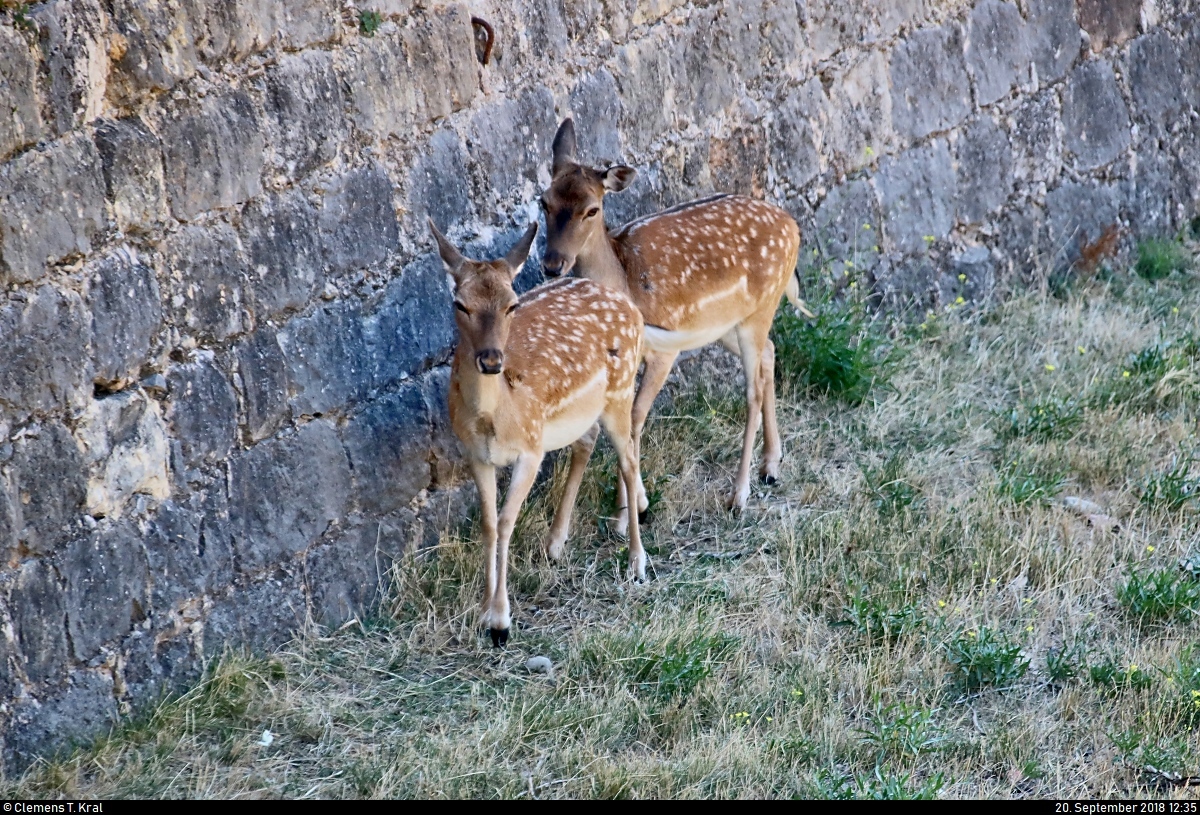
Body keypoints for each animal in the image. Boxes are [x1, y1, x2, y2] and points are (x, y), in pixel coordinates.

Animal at [434, 218, 648, 648]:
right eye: (460, 304)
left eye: (512, 304)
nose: (491, 360)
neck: (494, 418)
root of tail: (629, 306)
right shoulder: (475, 455)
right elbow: (488, 523)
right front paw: (484, 611)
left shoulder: (530, 449)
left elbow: (505, 522)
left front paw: (500, 622)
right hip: (584, 412)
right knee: (587, 443)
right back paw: (555, 544)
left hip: (620, 392)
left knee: (629, 459)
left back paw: (637, 562)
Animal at [542, 118, 806, 525]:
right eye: (544, 202)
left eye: (592, 209)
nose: (553, 264)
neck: (625, 281)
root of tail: (793, 226)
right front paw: (632, 506)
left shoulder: (664, 351)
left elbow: (636, 418)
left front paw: (627, 514)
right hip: (726, 324)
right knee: (770, 353)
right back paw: (771, 466)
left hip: (759, 310)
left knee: (752, 389)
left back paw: (739, 495)